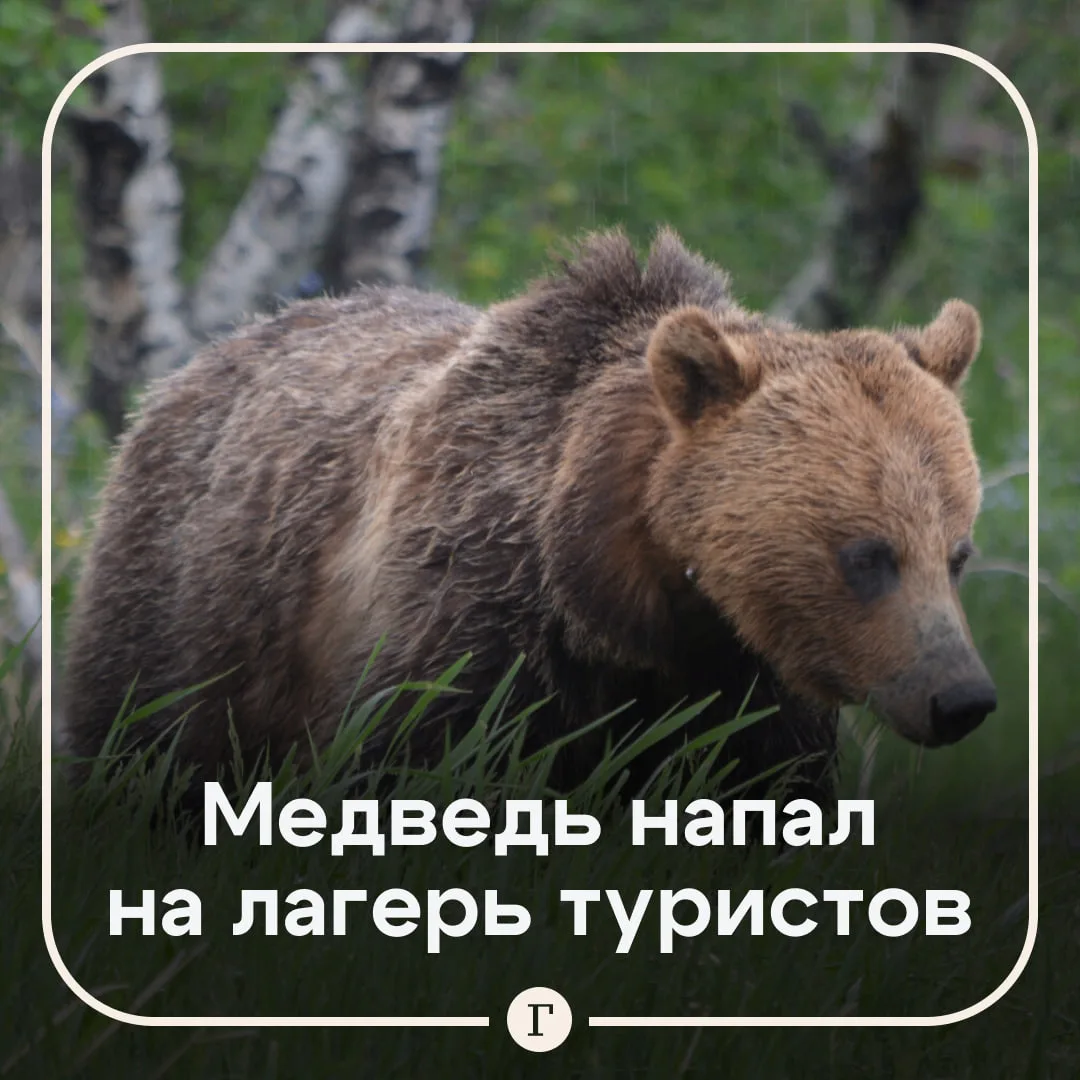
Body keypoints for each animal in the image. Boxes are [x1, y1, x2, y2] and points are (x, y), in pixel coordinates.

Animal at [59, 227, 996, 804]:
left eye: (956, 552)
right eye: (866, 554)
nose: (962, 698)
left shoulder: (744, 684)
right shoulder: (463, 621)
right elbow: (420, 761)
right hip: (192, 607)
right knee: (143, 752)